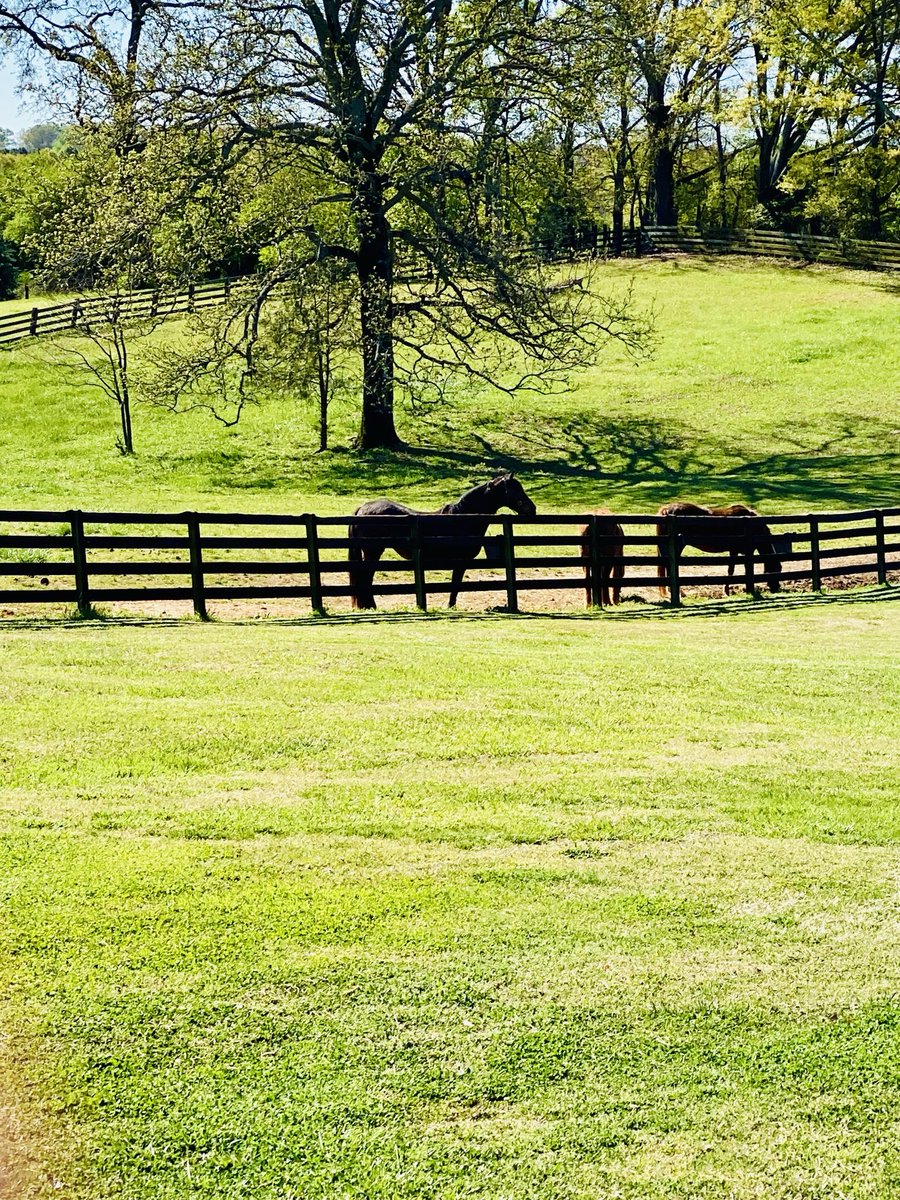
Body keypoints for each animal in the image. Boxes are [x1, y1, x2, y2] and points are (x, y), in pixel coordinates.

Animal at [348, 470, 540, 609]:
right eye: (515, 489)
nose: (532, 509)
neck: (463, 517)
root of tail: (363, 508)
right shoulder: (461, 561)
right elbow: (455, 585)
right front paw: (450, 606)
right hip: (373, 551)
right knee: (366, 578)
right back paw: (370, 606)